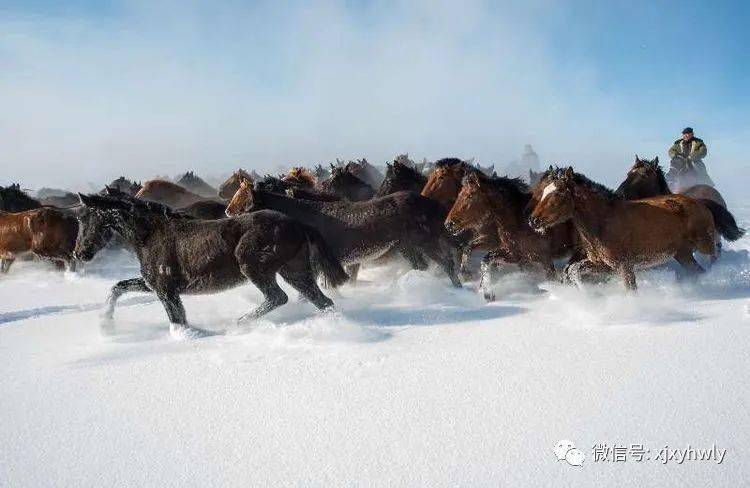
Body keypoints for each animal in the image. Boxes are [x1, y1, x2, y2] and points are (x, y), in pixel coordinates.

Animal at [226, 178, 464, 286]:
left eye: (243, 202)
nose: (227, 212)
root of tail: (429, 203)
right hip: (408, 248)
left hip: (426, 243)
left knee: (447, 264)